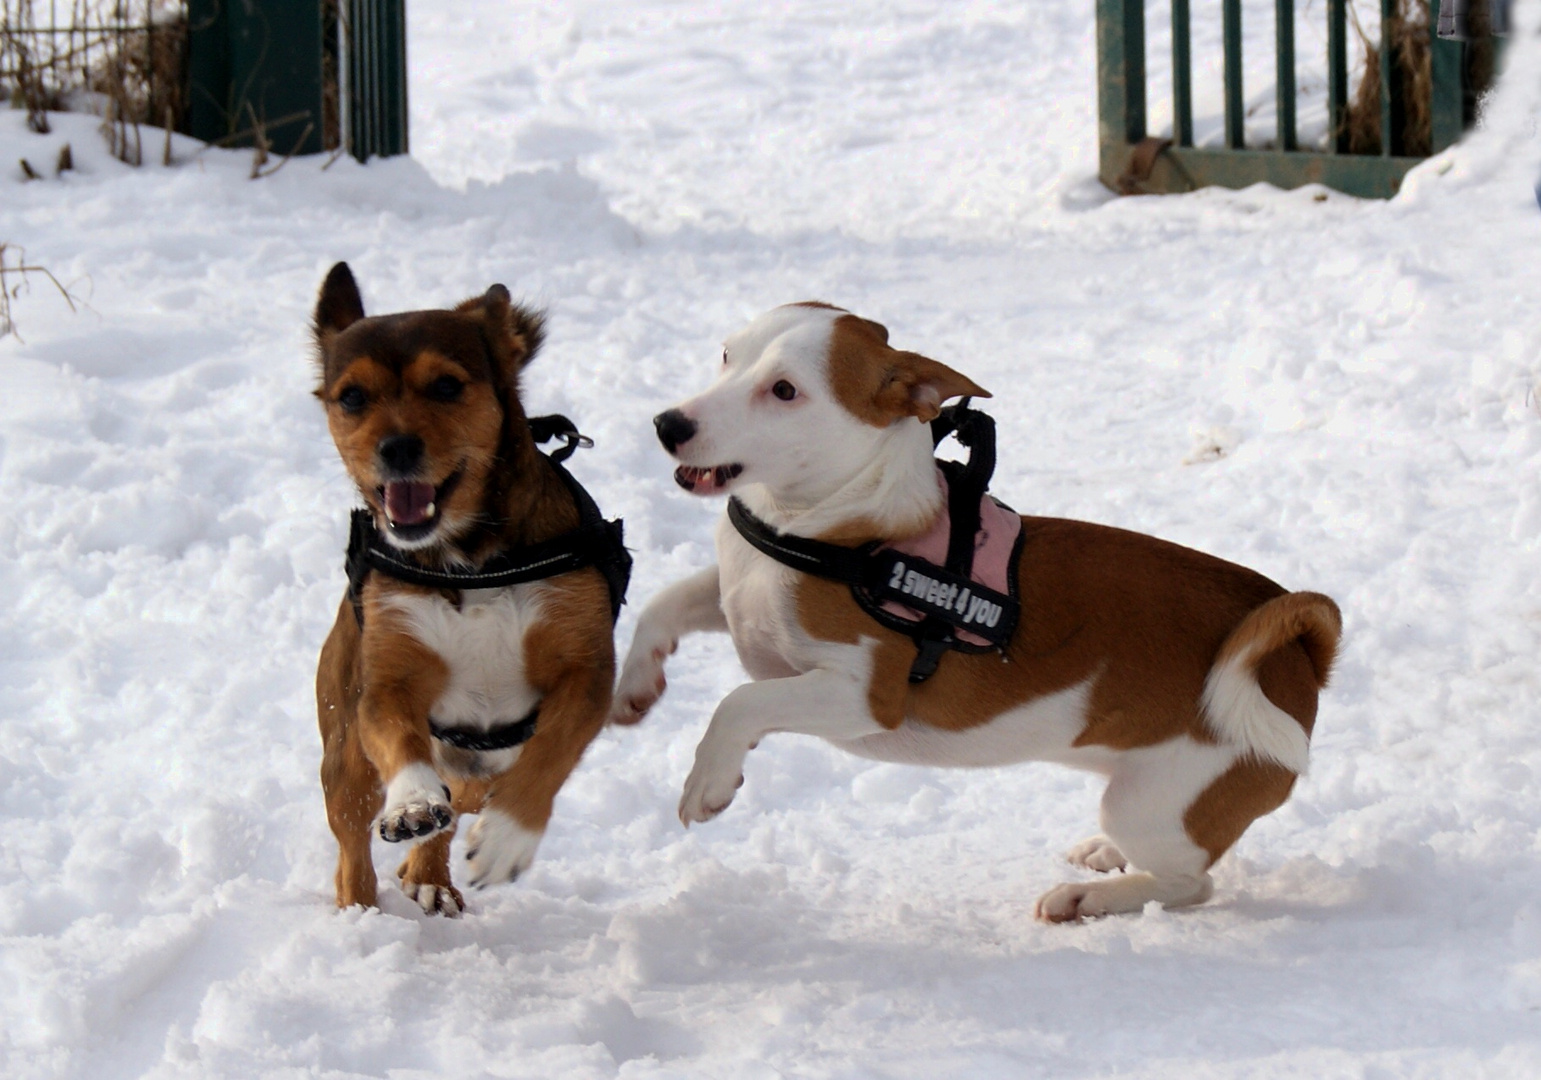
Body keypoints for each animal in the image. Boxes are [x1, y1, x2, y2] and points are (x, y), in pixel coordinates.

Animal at [309, 264, 622, 912]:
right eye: (351, 397)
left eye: (447, 386)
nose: (397, 448)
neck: (468, 558)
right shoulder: (388, 675)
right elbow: (399, 736)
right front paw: (410, 803)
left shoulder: (585, 668)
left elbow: (551, 752)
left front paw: (507, 837)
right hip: (343, 745)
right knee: (353, 840)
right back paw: (361, 912)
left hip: (482, 760)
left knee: (466, 797)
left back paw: (429, 874)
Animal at [610, 301, 1337, 918]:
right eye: (726, 355)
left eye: (784, 391)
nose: (669, 424)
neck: (827, 524)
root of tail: (1299, 655)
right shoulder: (737, 596)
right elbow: (666, 604)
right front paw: (634, 685)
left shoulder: (863, 697)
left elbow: (739, 703)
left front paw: (707, 781)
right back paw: (1104, 858)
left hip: (1153, 804)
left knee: (1190, 884)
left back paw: (1089, 898)